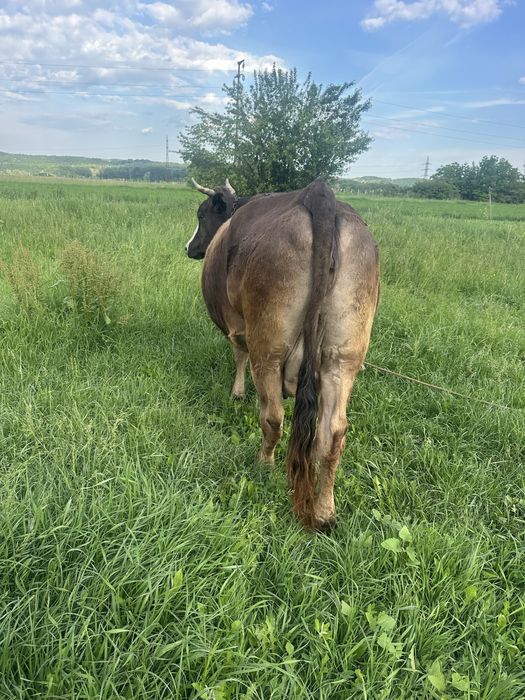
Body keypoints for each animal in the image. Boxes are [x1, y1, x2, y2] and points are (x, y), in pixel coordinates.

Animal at [186, 177, 380, 530]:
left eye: (202, 214)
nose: (190, 248)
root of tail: (319, 195)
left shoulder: (237, 325)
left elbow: (239, 355)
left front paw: (237, 392)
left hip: (269, 345)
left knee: (273, 416)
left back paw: (264, 463)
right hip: (342, 356)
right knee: (333, 433)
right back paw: (325, 511)